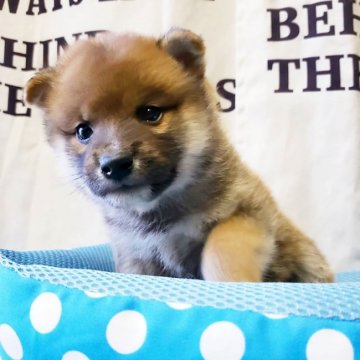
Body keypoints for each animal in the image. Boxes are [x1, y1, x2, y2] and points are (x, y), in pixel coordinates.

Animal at [25, 29, 334, 282]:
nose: (115, 163)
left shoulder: (245, 215)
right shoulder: (136, 254)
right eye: (83, 131)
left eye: (151, 113)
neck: (160, 215)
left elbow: (221, 248)